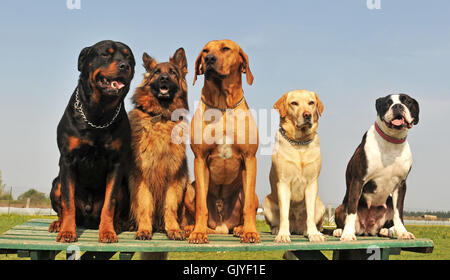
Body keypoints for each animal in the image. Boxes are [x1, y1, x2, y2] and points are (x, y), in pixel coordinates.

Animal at [186, 38, 260, 243]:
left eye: (225, 48)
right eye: (205, 51)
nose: (209, 59)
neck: (222, 105)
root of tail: (222, 226)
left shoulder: (250, 158)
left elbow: (248, 207)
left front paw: (251, 232)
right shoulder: (200, 159)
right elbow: (201, 206)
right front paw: (198, 233)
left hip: (252, 193)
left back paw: (241, 229)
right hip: (189, 189)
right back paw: (192, 228)